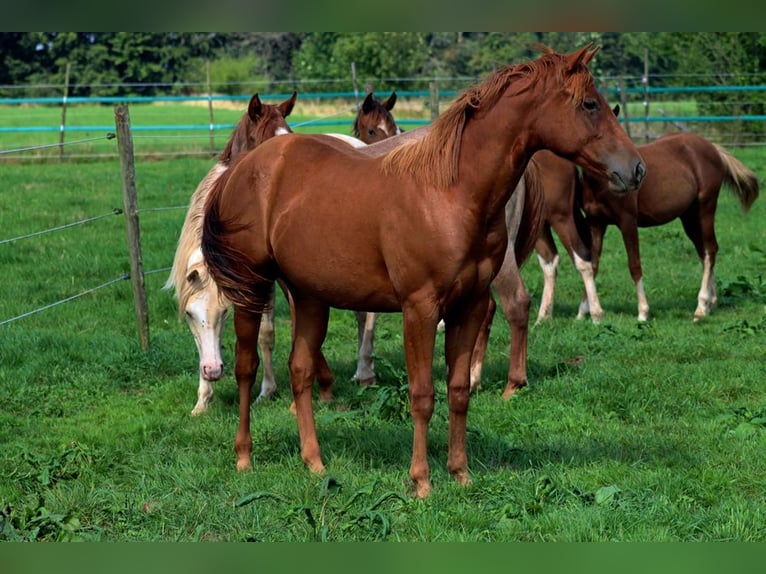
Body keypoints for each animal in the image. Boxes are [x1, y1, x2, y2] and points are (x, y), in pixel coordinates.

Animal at [201, 44, 644, 500]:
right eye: (589, 104)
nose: (635, 169)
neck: (451, 193)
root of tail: (244, 168)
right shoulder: (420, 309)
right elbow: (423, 394)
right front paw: (422, 481)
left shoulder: (469, 306)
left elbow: (459, 390)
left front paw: (460, 473)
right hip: (253, 288)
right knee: (246, 366)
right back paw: (244, 457)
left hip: (309, 296)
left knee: (301, 370)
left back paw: (314, 462)